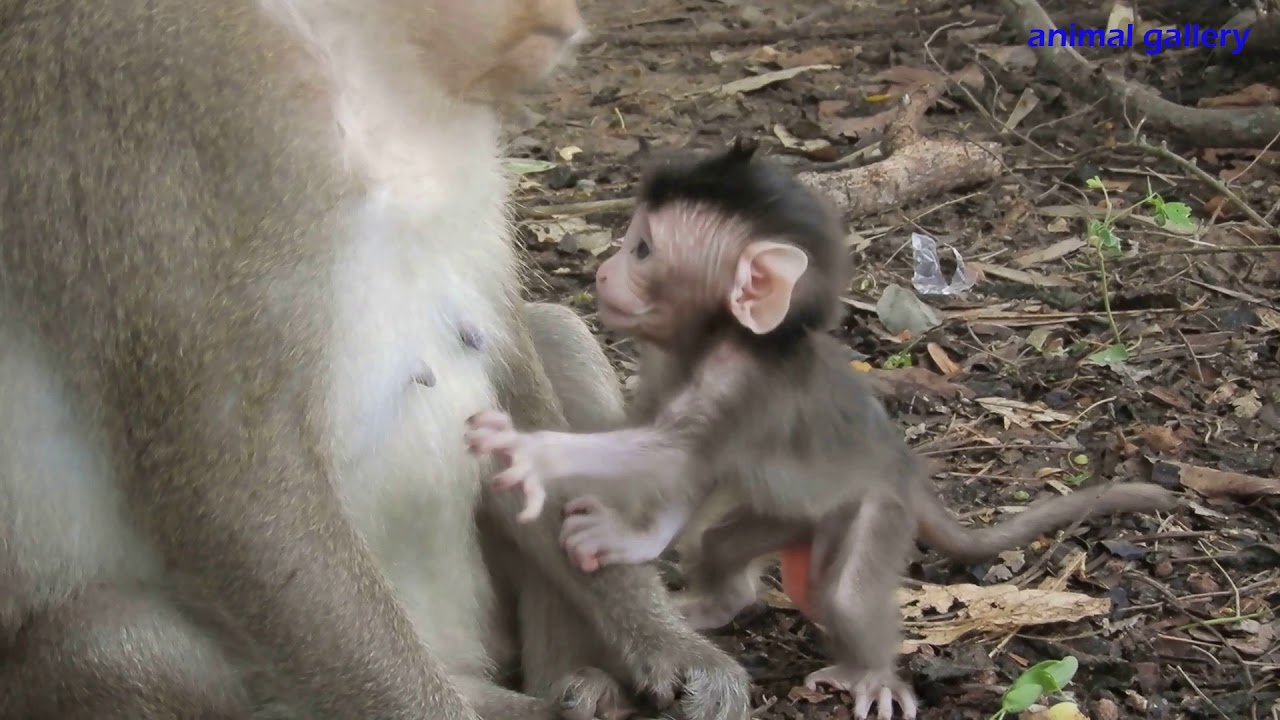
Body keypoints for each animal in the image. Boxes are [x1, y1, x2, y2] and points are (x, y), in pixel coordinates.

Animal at [0, 2, 752, 719]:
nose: (569, 19)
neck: (367, 59)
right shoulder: (170, 115)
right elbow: (227, 473)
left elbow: (513, 374)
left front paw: (674, 647)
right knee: (113, 643)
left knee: (557, 333)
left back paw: (573, 679)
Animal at [463, 139, 1180, 720]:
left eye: (642, 248)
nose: (605, 269)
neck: (723, 339)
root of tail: (902, 468)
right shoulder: (670, 367)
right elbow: (686, 471)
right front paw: (630, 538)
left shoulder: (742, 386)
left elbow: (669, 455)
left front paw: (530, 451)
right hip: (792, 517)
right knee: (723, 540)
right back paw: (719, 600)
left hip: (875, 509)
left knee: (848, 594)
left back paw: (872, 673)